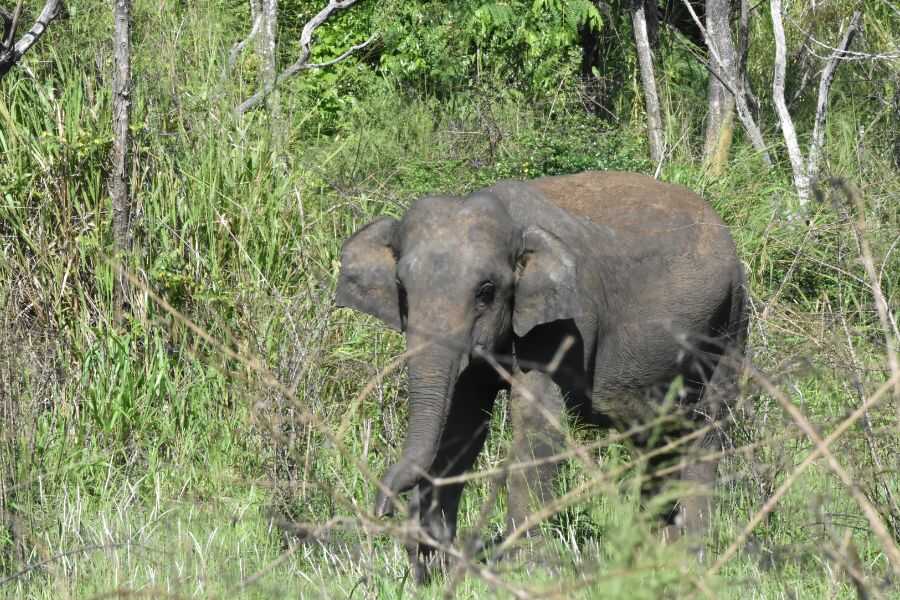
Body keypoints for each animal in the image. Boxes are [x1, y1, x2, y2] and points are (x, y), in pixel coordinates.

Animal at [335, 170, 747, 581]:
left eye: (486, 291)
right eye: (401, 289)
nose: (383, 509)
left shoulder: (565, 322)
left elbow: (536, 422)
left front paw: (521, 570)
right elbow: (463, 425)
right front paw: (437, 569)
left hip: (728, 325)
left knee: (706, 429)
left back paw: (692, 560)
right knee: (656, 440)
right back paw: (652, 557)